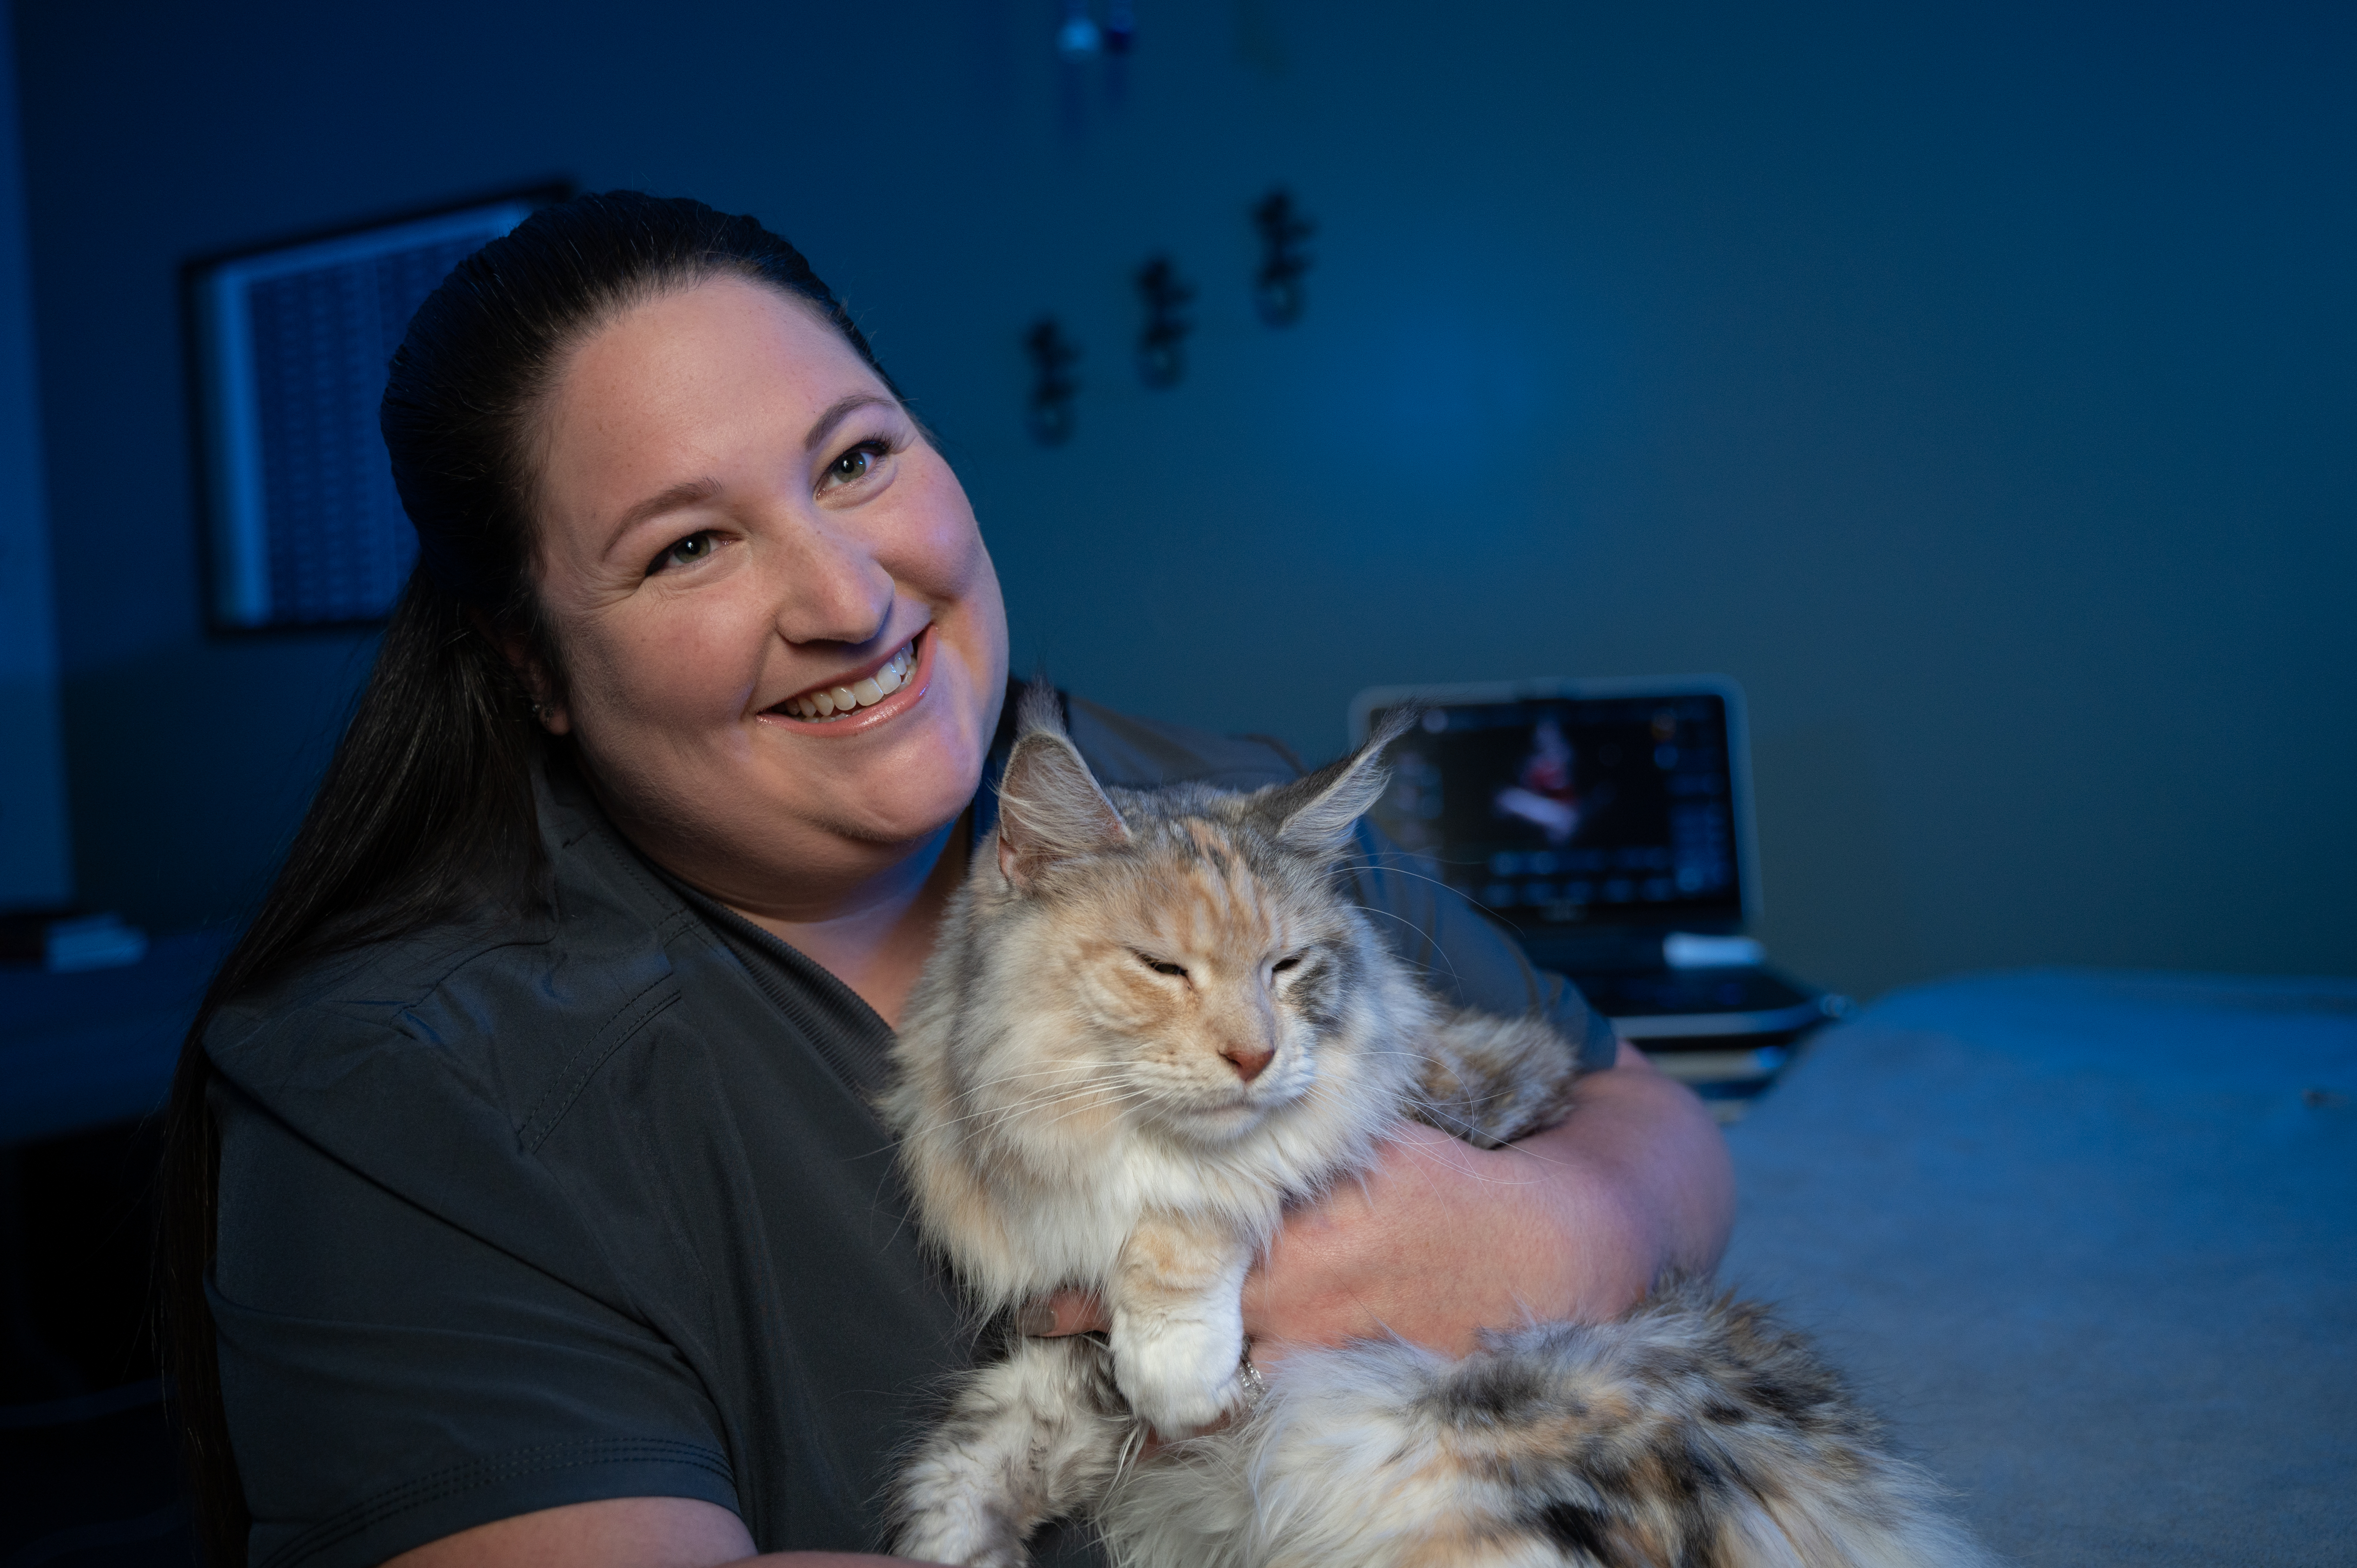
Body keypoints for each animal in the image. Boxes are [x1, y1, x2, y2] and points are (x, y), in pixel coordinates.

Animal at [876, 698, 1980, 1565]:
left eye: (1287, 966)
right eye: (1162, 967)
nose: (1255, 1055)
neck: (1085, 1138)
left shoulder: (1453, 1084)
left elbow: (1209, 1198)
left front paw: (1181, 1363)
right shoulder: (1057, 1367)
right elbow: (973, 1466)